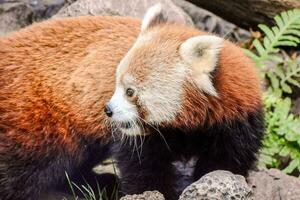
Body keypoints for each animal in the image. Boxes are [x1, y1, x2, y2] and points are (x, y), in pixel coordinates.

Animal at [105, 3, 264, 200]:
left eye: (130, 91)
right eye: (117, 84)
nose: (108, 110)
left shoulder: (236, 124)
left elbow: (225, 163)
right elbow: (142, 166)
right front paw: (151, 192)